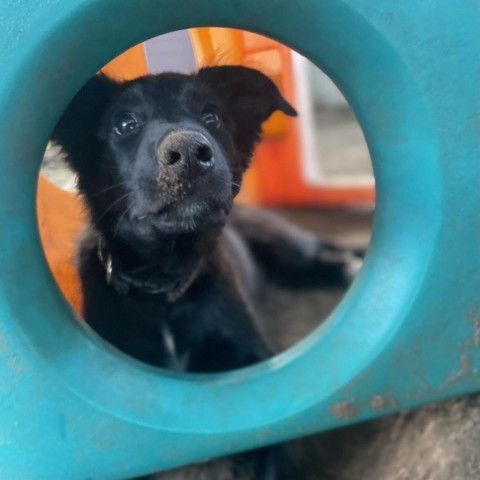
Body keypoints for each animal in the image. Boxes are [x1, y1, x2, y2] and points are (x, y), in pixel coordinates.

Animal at [53, 67, 356, 480]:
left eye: (211, 116)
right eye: (125, 124)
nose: (190, 154)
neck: (162, 286)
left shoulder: (257, 365)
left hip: (286, 249)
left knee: (322, 258)